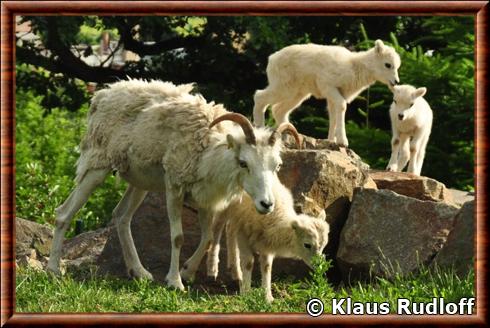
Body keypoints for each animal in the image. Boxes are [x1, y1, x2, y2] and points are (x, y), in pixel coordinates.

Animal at [46, 79, 300, 290]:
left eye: (276, 165)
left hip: (140, 183)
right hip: (97, 166)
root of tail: (102, 96)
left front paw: (187, 272)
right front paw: (175, 282)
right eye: (243, 163)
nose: (266, 204)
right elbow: (178, 237)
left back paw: (140, 273)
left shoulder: (206, 201)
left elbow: (207, 238)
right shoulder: (174, 188)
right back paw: (53, 270)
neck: (208, 151)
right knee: (64, 213)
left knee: (121, 216)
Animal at [255, 39, 400, 147]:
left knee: (278, 110)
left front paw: (331, 141)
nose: (396, 82)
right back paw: (260, 129)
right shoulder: (328, 86)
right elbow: (341, 107)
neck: (353, 67)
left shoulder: (334, 96)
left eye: (397, 67)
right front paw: (343, 142)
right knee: (259, 97)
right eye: (388, 65)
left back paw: (288, 136)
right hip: (284, 88)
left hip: (297, 94)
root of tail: (272, 59)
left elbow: (333, 115)